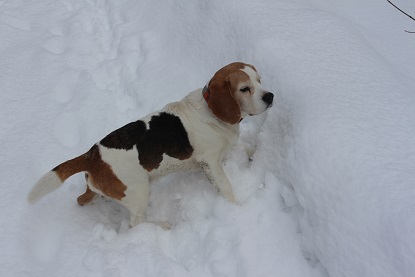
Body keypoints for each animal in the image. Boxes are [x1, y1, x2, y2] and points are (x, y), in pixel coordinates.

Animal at [30, 62, 276, 226]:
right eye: (244, 88)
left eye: (259, 80)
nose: (270, 96)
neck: (211, 110)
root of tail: (91, 155)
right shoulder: (211, 162)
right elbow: (225, 187)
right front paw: (237, 209)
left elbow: (242, 147)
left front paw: (255, 152)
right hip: (139, 192)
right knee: (135, 226)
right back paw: (162, 227)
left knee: (82, 199)